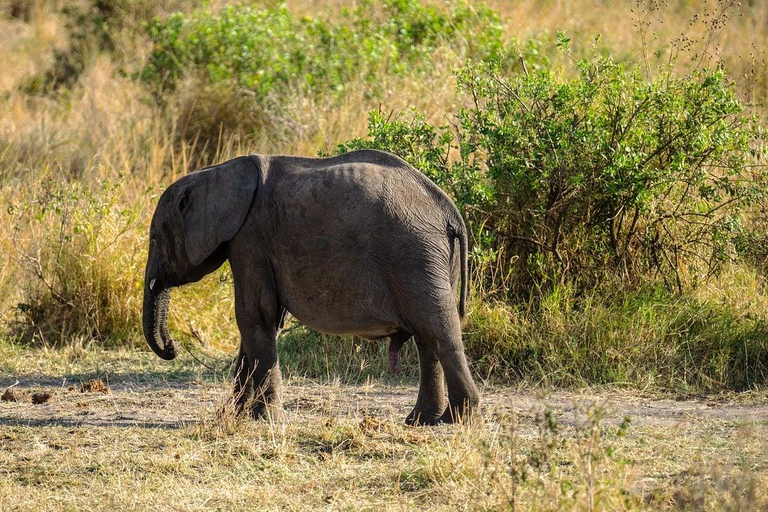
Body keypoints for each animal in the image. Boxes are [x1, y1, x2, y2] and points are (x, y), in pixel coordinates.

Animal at [143, 149, 480, 424]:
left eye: (155, 238)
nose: (173, 347)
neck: (216, 173)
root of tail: (448, 210)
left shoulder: (249, 239)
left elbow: (254, 316)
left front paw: (263, 418)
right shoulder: (250, 242)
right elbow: (260, 324)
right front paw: (235, 415)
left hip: (414, 255)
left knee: (439, 332)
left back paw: (455, 419)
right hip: (433, 259)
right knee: (428, 340)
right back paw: (421, 421)